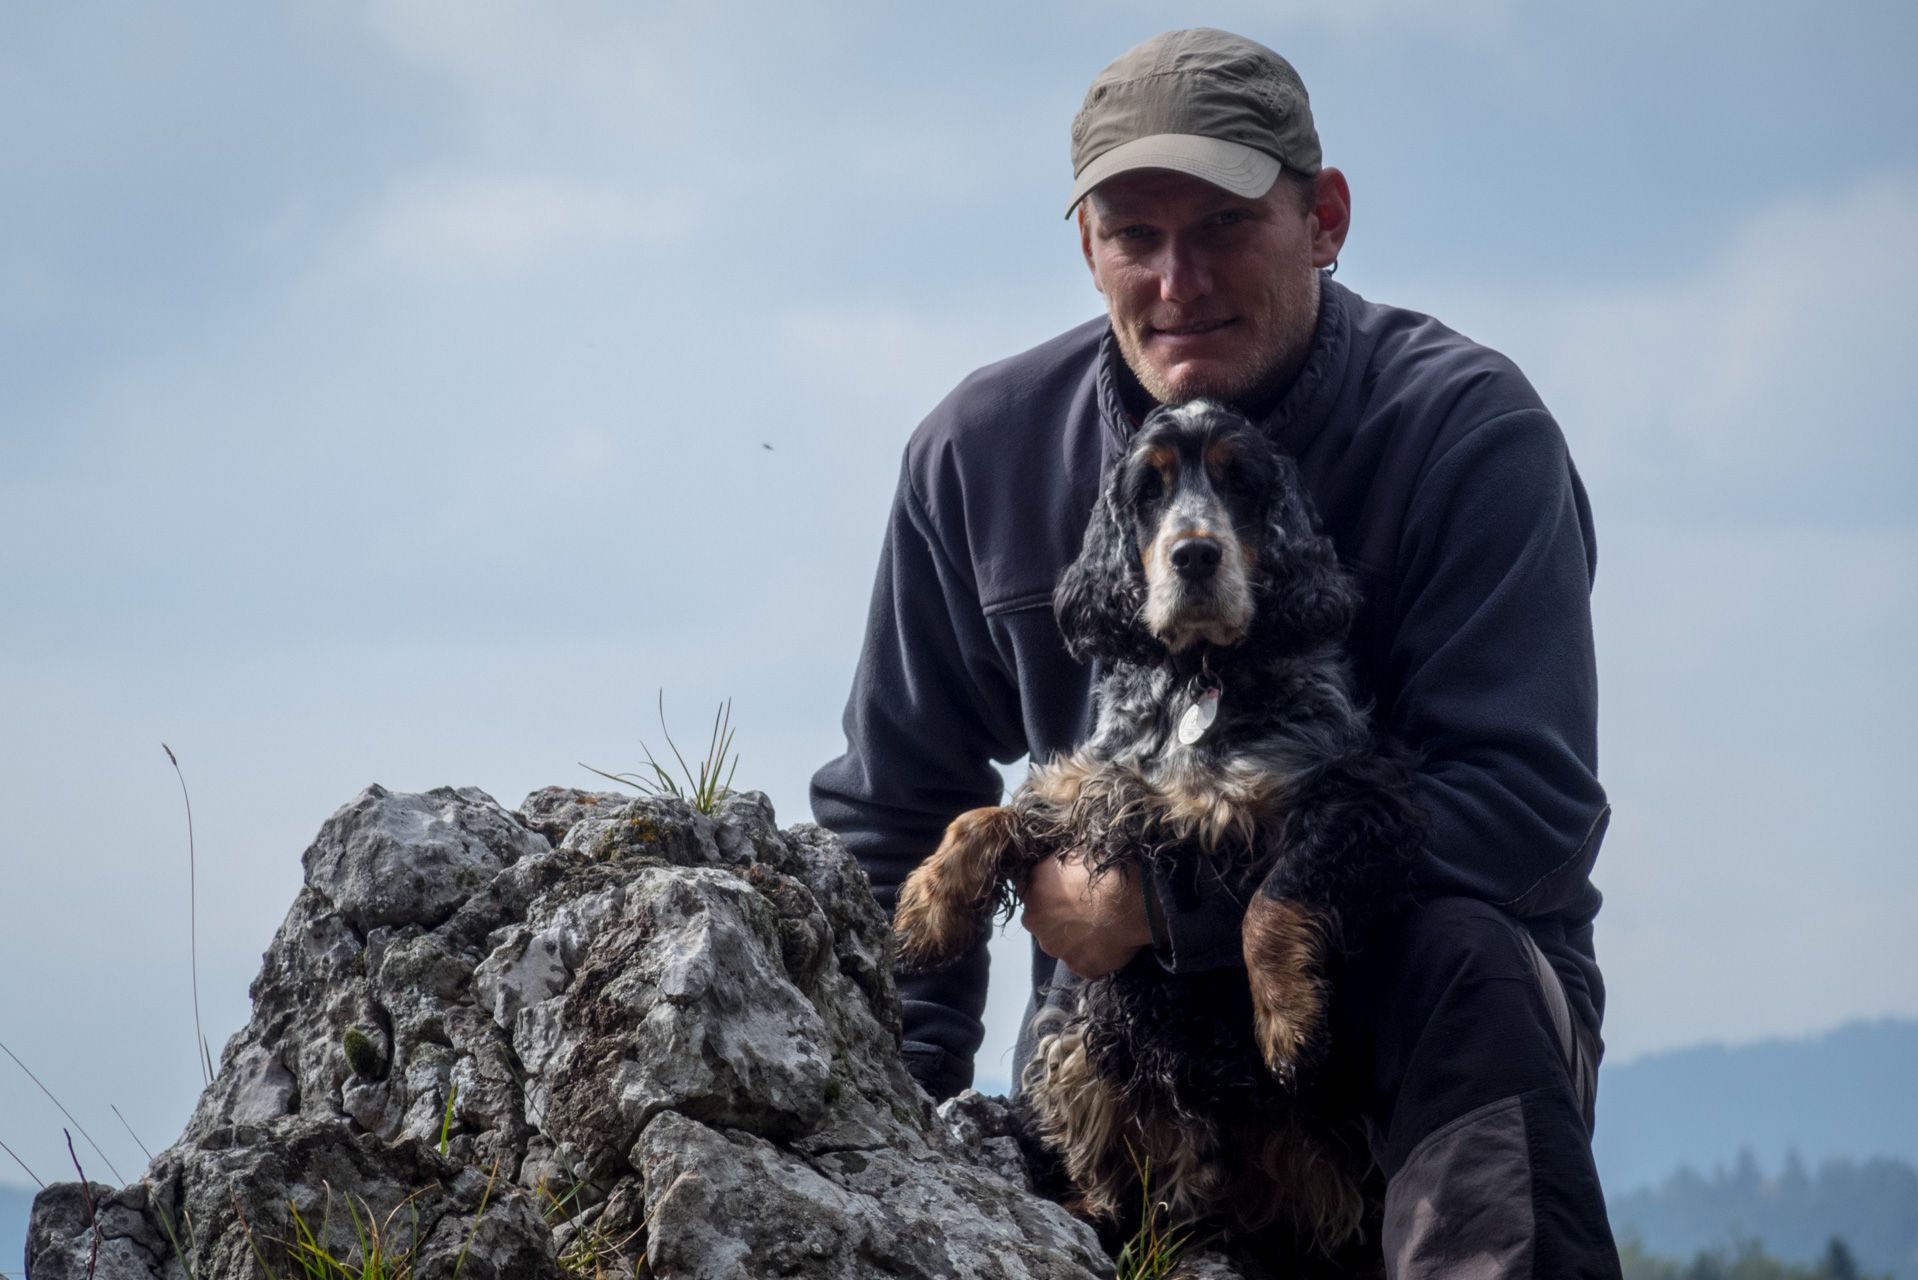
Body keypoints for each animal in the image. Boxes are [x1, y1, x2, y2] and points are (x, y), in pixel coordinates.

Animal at [886, 404, 1426, 1266]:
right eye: (1150, 489)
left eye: (1240, 482)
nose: (1196, 553)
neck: (1197, 681)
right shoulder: (1104, 793)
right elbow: (990, 814)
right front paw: (929, 912)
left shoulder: (1362, 796)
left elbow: (1271, 902)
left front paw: (1289, 1022)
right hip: (1080, 1033)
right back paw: (1086, 1208)